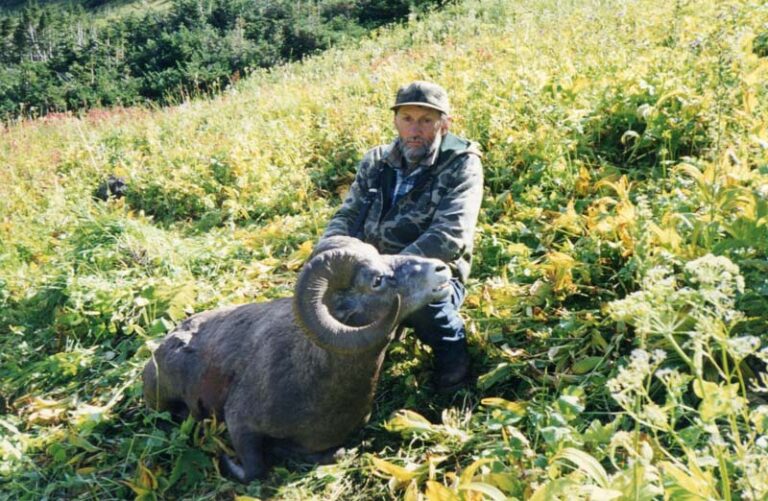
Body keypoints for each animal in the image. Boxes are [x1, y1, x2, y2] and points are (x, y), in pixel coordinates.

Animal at [142, 236, 450, 482]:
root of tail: (159, 349)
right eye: (376, 280)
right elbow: (255, 470)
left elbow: (333, 454)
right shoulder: (240, 424)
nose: (441, 269)